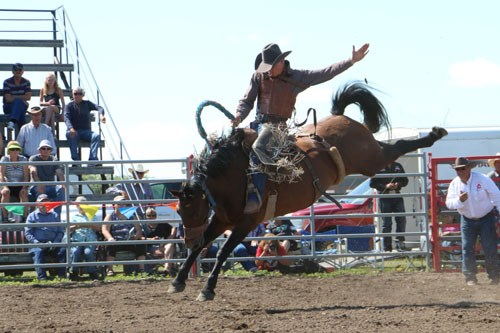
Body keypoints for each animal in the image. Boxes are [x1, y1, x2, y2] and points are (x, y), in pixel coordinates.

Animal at [167, 81, 446, 300]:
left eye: (194, 209)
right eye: (180, 211)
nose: (187, 239)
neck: (235, 176)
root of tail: (340, 116)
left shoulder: (247, 222)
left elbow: (223, 251)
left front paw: (207, 289)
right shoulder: (222, 219)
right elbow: (202, 246)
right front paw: (178, 281)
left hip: (370, 159)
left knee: (396, 146)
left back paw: (434, 134)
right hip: (370, 158)